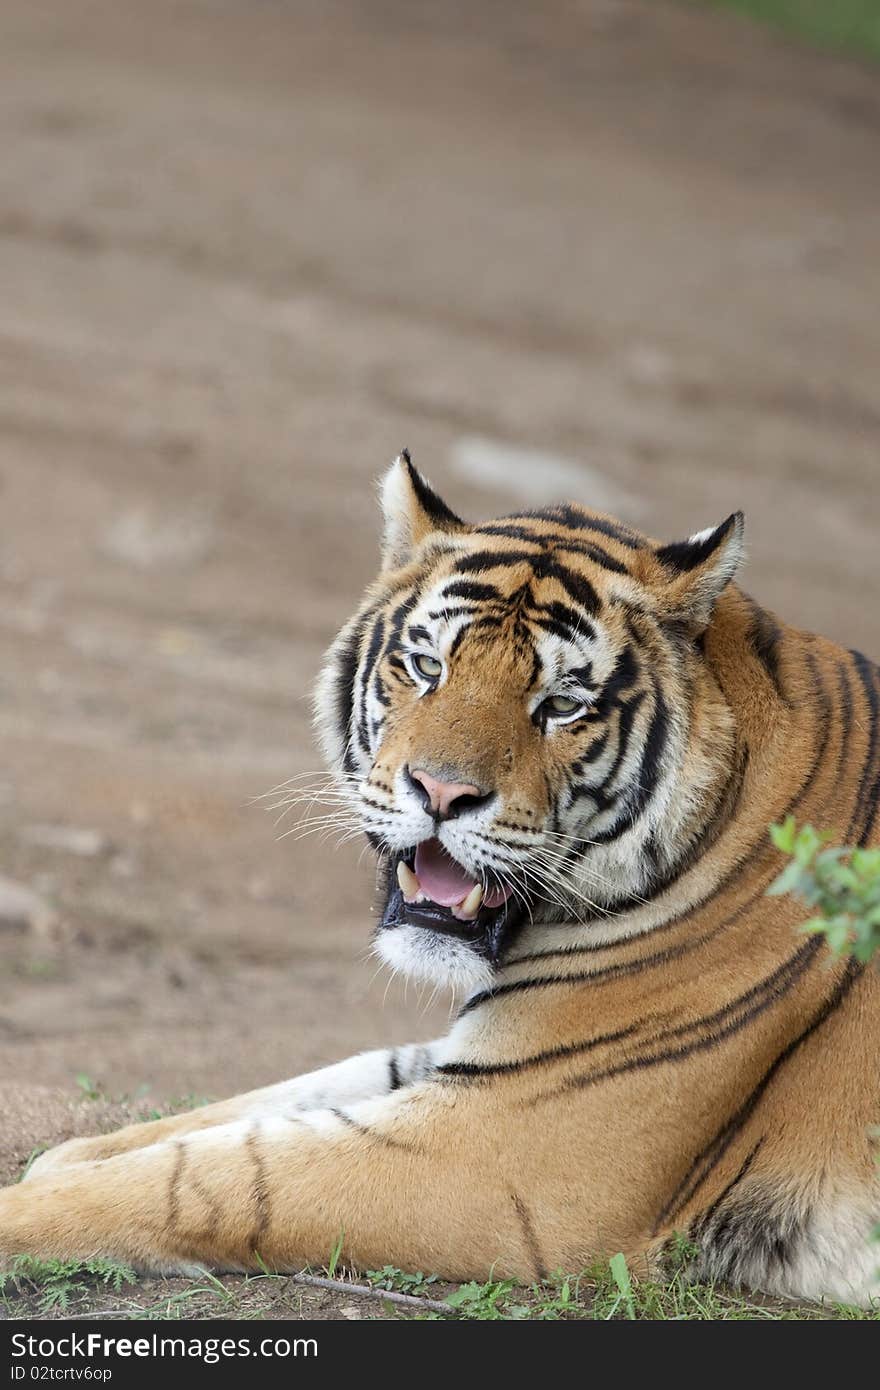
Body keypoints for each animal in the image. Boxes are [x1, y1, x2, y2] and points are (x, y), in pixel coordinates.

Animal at [1, 453, 878, 1301]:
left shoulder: (505, 1152)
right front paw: (71, 1154)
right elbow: (258, 1106)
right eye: (426, 666)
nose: (443, 792)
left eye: (562, 705)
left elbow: (214, 1177)